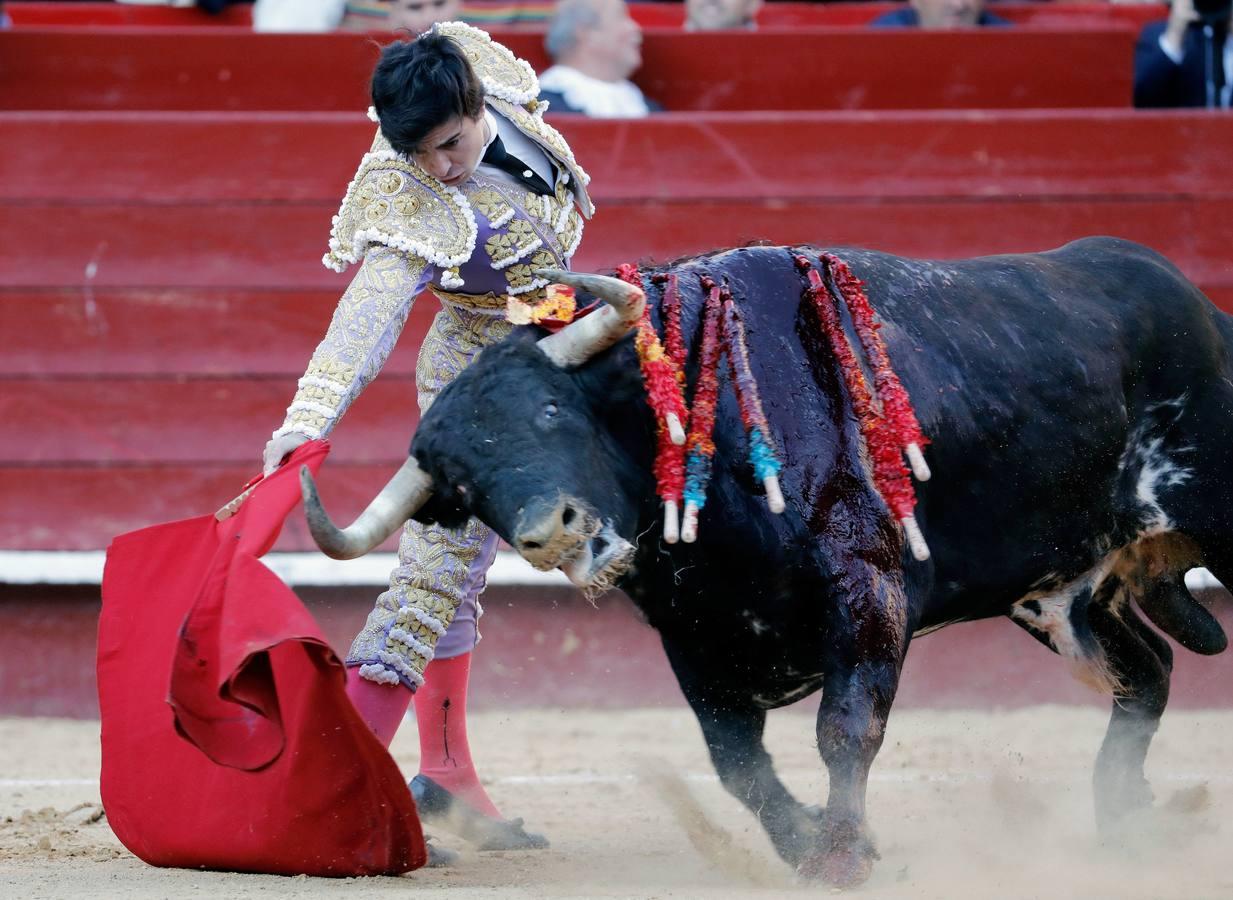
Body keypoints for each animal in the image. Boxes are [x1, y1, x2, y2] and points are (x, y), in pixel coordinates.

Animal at [303, 235, 1228, 887]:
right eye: (464, 485)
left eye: (549, 408)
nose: (549, 530)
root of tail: (1197, 305)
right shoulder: (695, 640)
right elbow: (738, 766)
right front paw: (804, 844)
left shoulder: (865, 591)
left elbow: (844, 730)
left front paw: (843, 853)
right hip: (1060, 595)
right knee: (1145, 671)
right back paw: (1125, 824)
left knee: (1148, 667)